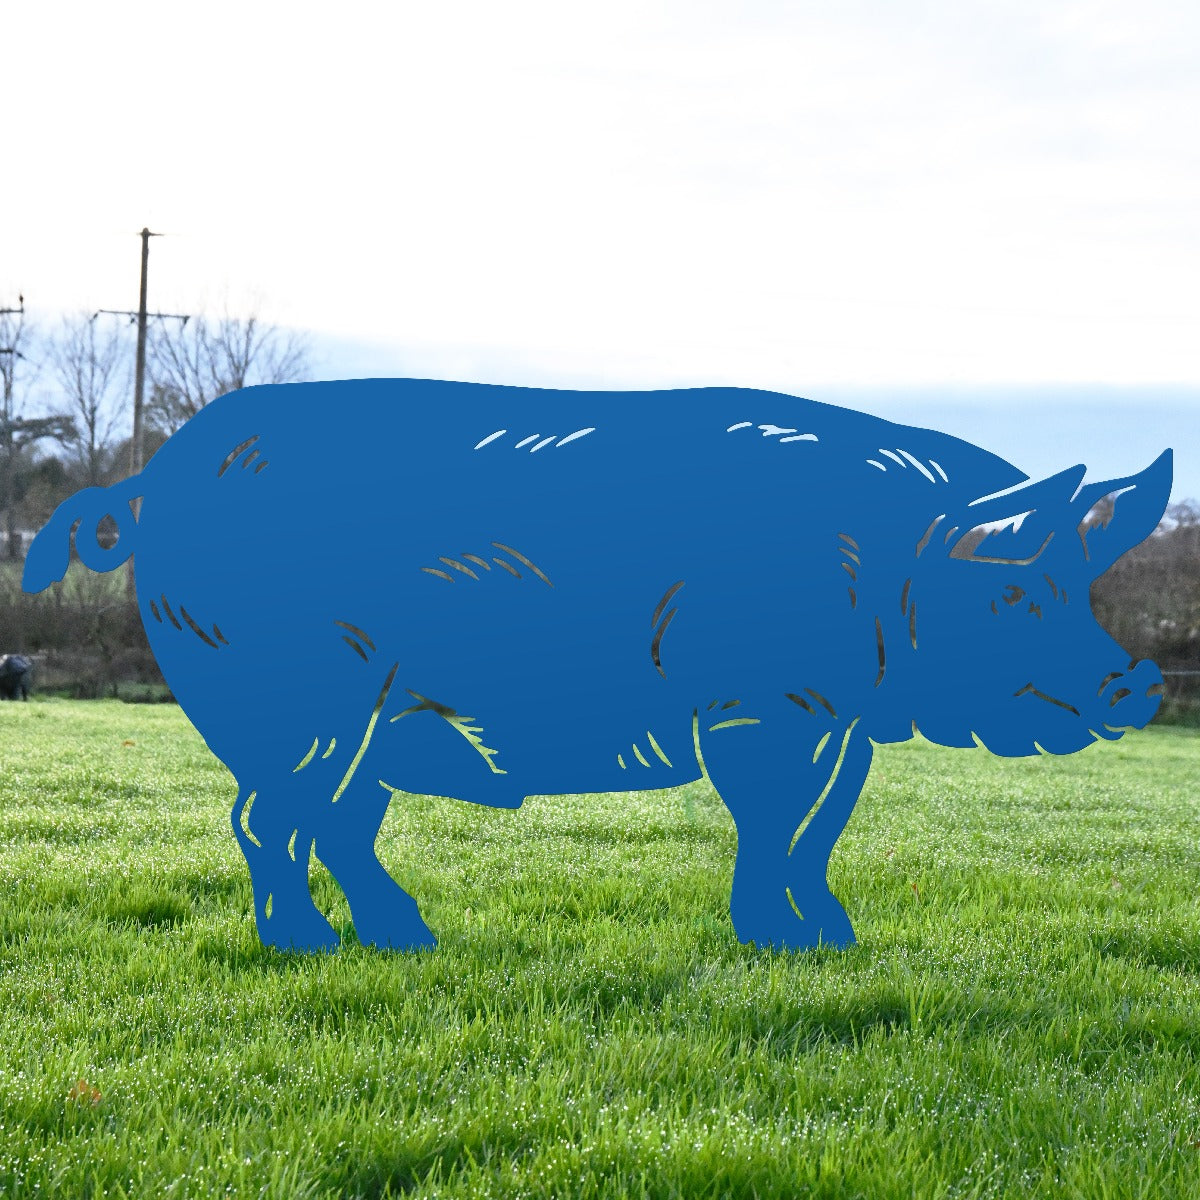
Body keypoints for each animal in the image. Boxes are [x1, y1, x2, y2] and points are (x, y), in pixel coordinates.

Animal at [22, 380, 1172, 953]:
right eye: (1016, 594)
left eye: (1079, 588)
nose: (1138, 681)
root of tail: (151, 483)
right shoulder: (760, 701)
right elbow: (769, 823)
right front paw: (779, 945)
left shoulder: (840, 720)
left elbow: (819, 831)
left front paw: (834, 943)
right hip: (303, 694)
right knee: (268, 820)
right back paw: (306, 949)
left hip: (379, 715)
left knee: (337, 824)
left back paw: (407, 944)